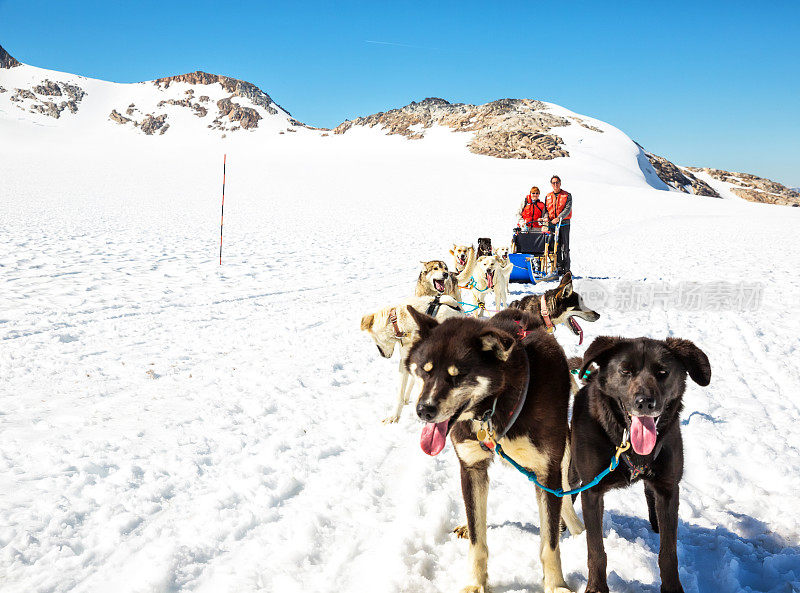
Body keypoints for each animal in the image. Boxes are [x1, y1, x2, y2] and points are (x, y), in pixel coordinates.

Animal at [572, 336, 708, 588]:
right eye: (625, 370)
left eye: (663, 372)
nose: (645, 402)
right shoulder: (592, 491)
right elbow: (596, 550)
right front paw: (596, 588)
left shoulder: (668, 488)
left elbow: (668, 552)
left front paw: (672, 587)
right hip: (573, 473)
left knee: (649, 494)